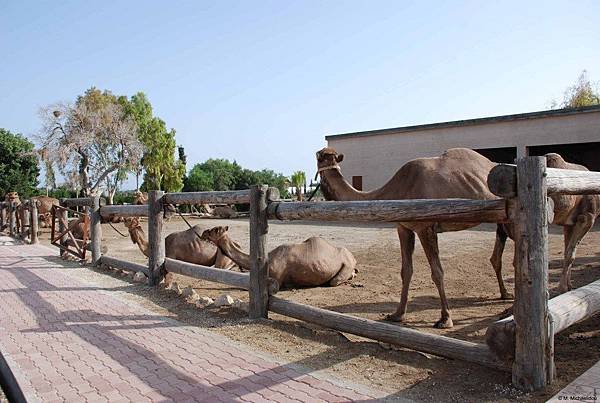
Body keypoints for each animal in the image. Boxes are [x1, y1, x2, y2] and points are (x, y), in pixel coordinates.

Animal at [202, 227, 356, 290]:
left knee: (334, 281)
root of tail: (352, 256)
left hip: (345, 264)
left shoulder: (276, 279)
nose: (203, 233)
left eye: (214, 230)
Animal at [316, 147, 504, 330]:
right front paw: (397, 314)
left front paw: (445, 319)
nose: (321, 156)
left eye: (320, 156)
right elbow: (406, 270)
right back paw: (505, 297)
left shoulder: (425, 227)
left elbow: (437, 272)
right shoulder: (404, 227)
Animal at [492, 152, 600, 294]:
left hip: (503, 226)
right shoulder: (587, 218)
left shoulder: (570, 223)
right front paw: (562, 288)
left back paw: (506, 293)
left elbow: (567, 251)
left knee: (497, 258)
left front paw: (569, 286)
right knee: (514, 260)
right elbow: (570, 254)